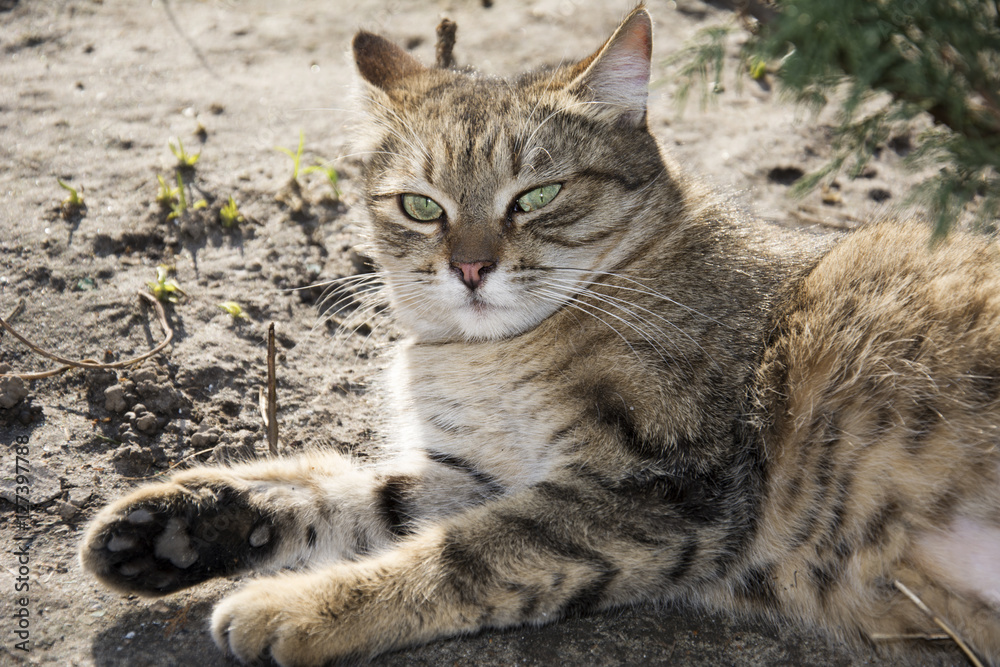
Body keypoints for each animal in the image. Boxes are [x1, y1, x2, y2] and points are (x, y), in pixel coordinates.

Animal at [80, 6, 1000, 667]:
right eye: (421, 205)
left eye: (536, 196)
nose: (470, 266)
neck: (483, 359)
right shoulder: (485, 472)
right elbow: (355, 494)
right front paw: (180, 525)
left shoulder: (663, 487)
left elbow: (457, 556)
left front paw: (295, 605)